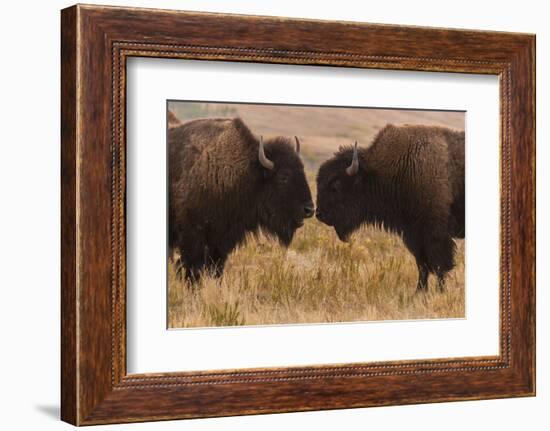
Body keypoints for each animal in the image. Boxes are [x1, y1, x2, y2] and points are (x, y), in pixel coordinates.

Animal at [169, 117, 314, 284]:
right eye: (283, 177)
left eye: (302, 170)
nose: (310, 209)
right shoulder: (193, 236)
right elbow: (193, 267)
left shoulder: (220, 242)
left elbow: (216, 268)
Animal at [314, 125, 466, 294]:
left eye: (335, 186)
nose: (319, 214)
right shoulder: (414, 235)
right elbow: (422, 265)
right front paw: (419, 292)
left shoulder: (435, 234)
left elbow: (440, 265)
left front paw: (440, 292)